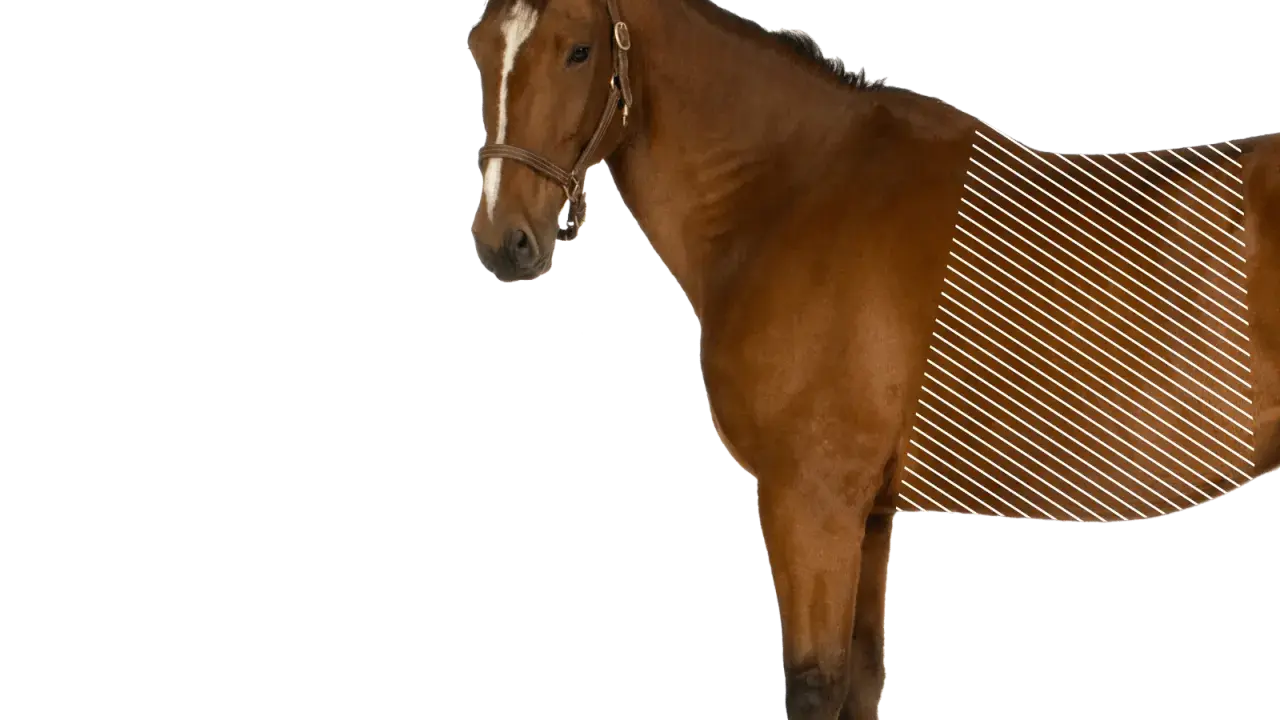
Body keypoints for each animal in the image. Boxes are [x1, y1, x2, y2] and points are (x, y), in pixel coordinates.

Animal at [466, 1, 1280, 717]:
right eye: (479, 49)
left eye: (579, 50)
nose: (506, 240)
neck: (789, 192)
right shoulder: (867, 512)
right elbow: (860, 678)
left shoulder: (809, 500)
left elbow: (816, 686)